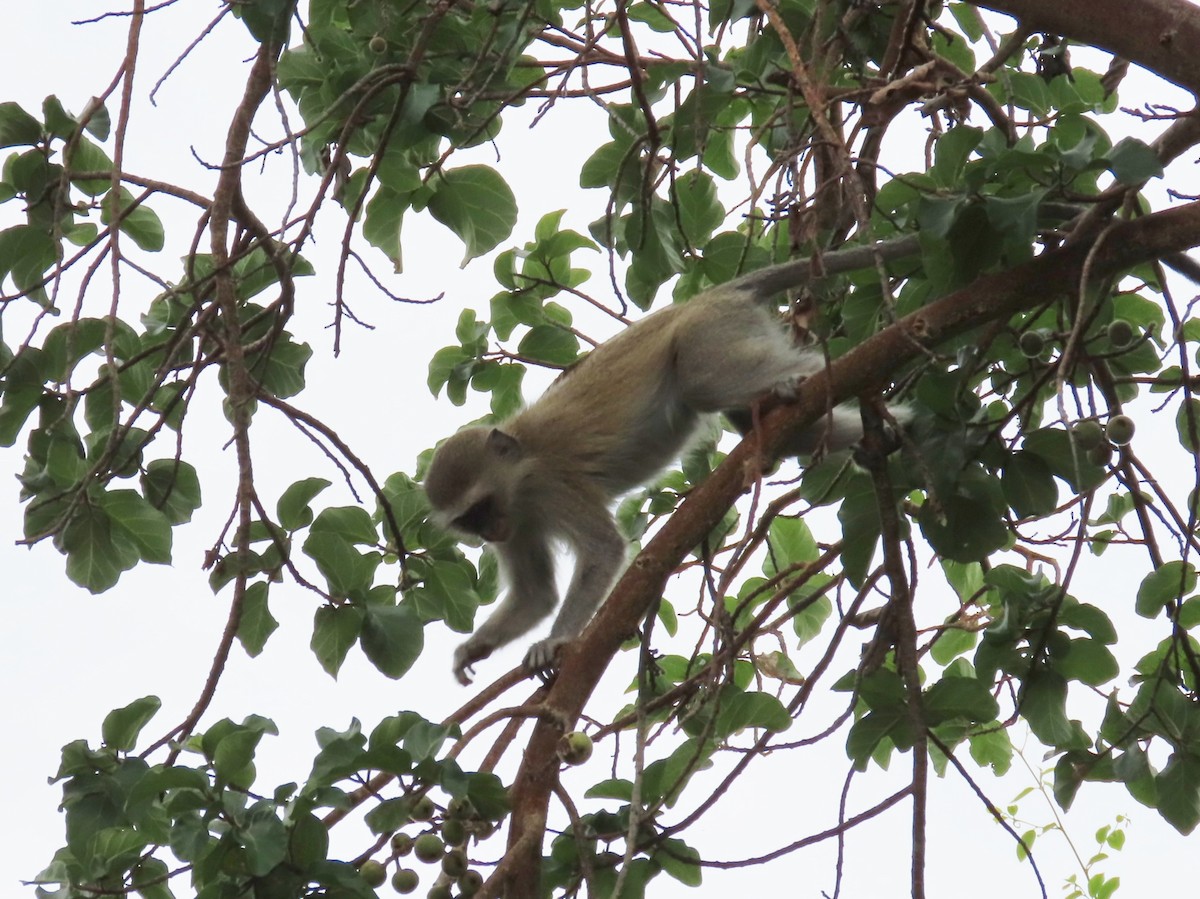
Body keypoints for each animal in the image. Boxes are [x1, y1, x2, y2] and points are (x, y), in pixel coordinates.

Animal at [424, 241, 917, 685]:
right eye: (470, 521)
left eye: (481, 508)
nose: (488, 533)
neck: (522, 469)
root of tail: (709, 298)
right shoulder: (519, 521)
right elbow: (535, 595)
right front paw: (475, 647)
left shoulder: (553, 486)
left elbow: (603, 549)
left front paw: (557, 642)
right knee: (765, 422)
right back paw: (887, 429)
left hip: (710, 332)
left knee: (704, 380)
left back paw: (829, 374)